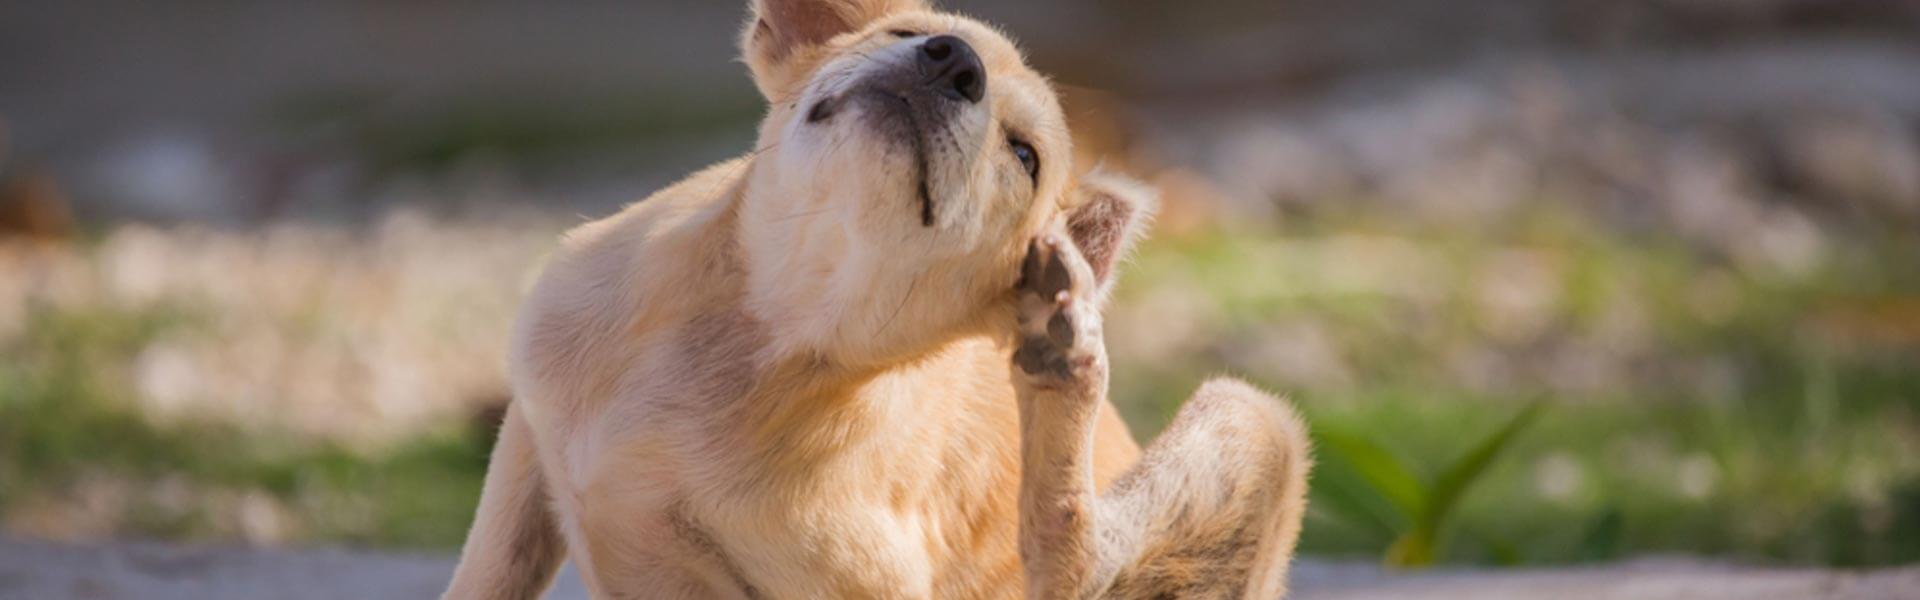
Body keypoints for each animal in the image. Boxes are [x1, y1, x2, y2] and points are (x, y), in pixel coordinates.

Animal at [441, 1, 1313, 596]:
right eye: (904, 34)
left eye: (1024, 155)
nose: (952, 61)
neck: (765, 324)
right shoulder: (527, 442)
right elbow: (487, 574)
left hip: (1254, 419)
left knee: (1069, 557)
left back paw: (1064, 356)